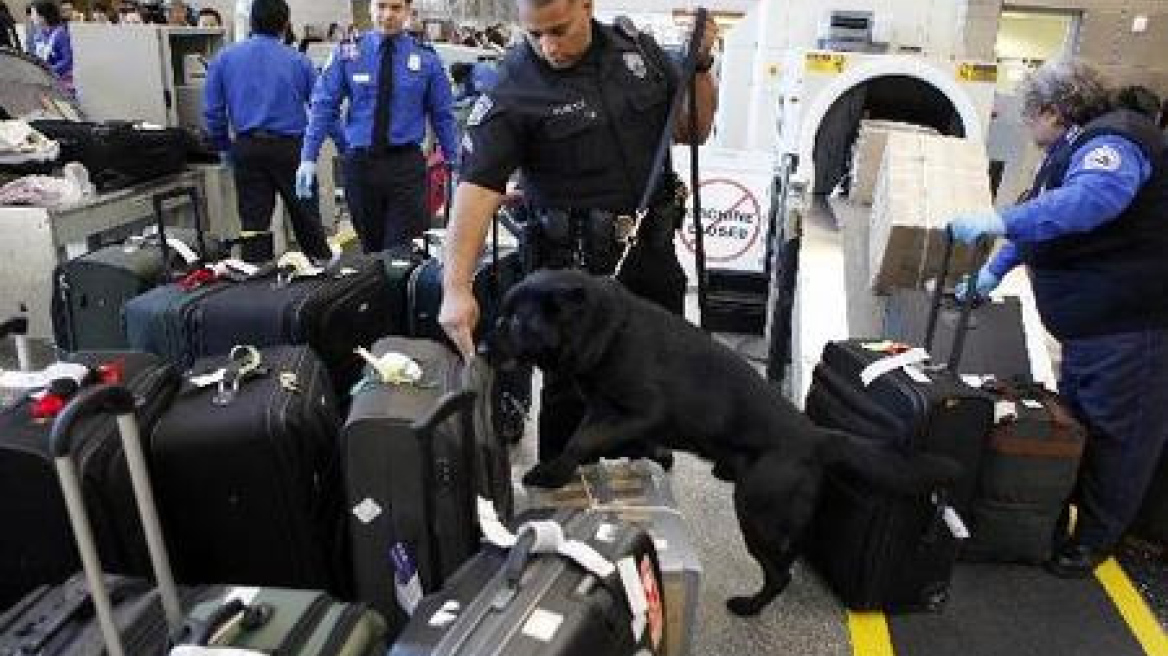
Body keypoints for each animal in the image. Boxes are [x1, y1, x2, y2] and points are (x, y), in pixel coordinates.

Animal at [483, 268, 957, 616]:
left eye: (515, 321)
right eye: (500, 315)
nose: (483, 348)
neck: (608, 329)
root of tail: (814, 435)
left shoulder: (640, 412)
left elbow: (583, 440)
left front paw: (551, 471)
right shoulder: (607, 410)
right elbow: (594, 438)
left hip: (756, 513)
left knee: (778, 574)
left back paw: (749, 607)